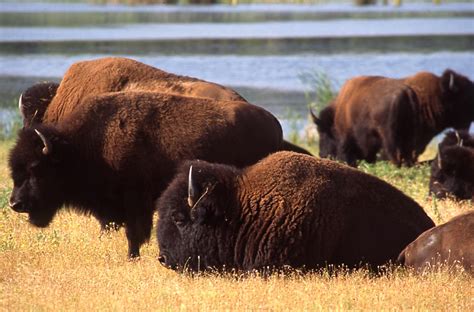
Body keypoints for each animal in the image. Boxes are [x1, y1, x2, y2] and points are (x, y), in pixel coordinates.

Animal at [9, 91, 286, 258]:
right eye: (15, 169)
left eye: (36, 168)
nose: (15, 204)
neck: (81, 147)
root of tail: (274, 124)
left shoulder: (136, 204)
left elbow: (135, 234)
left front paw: (133, 257)